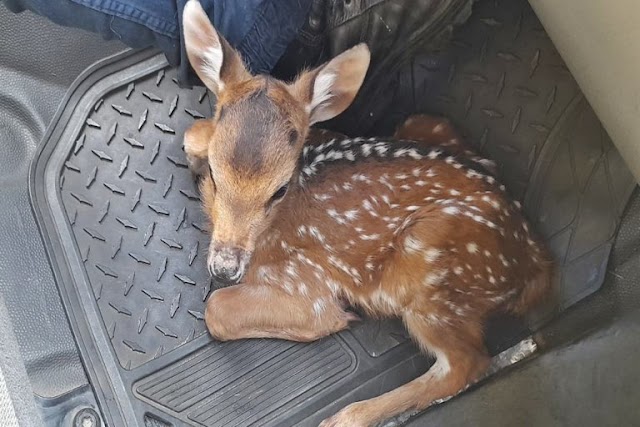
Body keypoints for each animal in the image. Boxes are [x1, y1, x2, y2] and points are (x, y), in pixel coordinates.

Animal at [182, 1, 552, 426]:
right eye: (214, 174)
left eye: (279, 190)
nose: (225, 268)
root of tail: (535, 259)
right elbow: (193, 132)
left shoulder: (306, 285)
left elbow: (218, 310)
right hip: (424, 123)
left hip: (432, 270)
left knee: (465, 364)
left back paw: (347, 416)